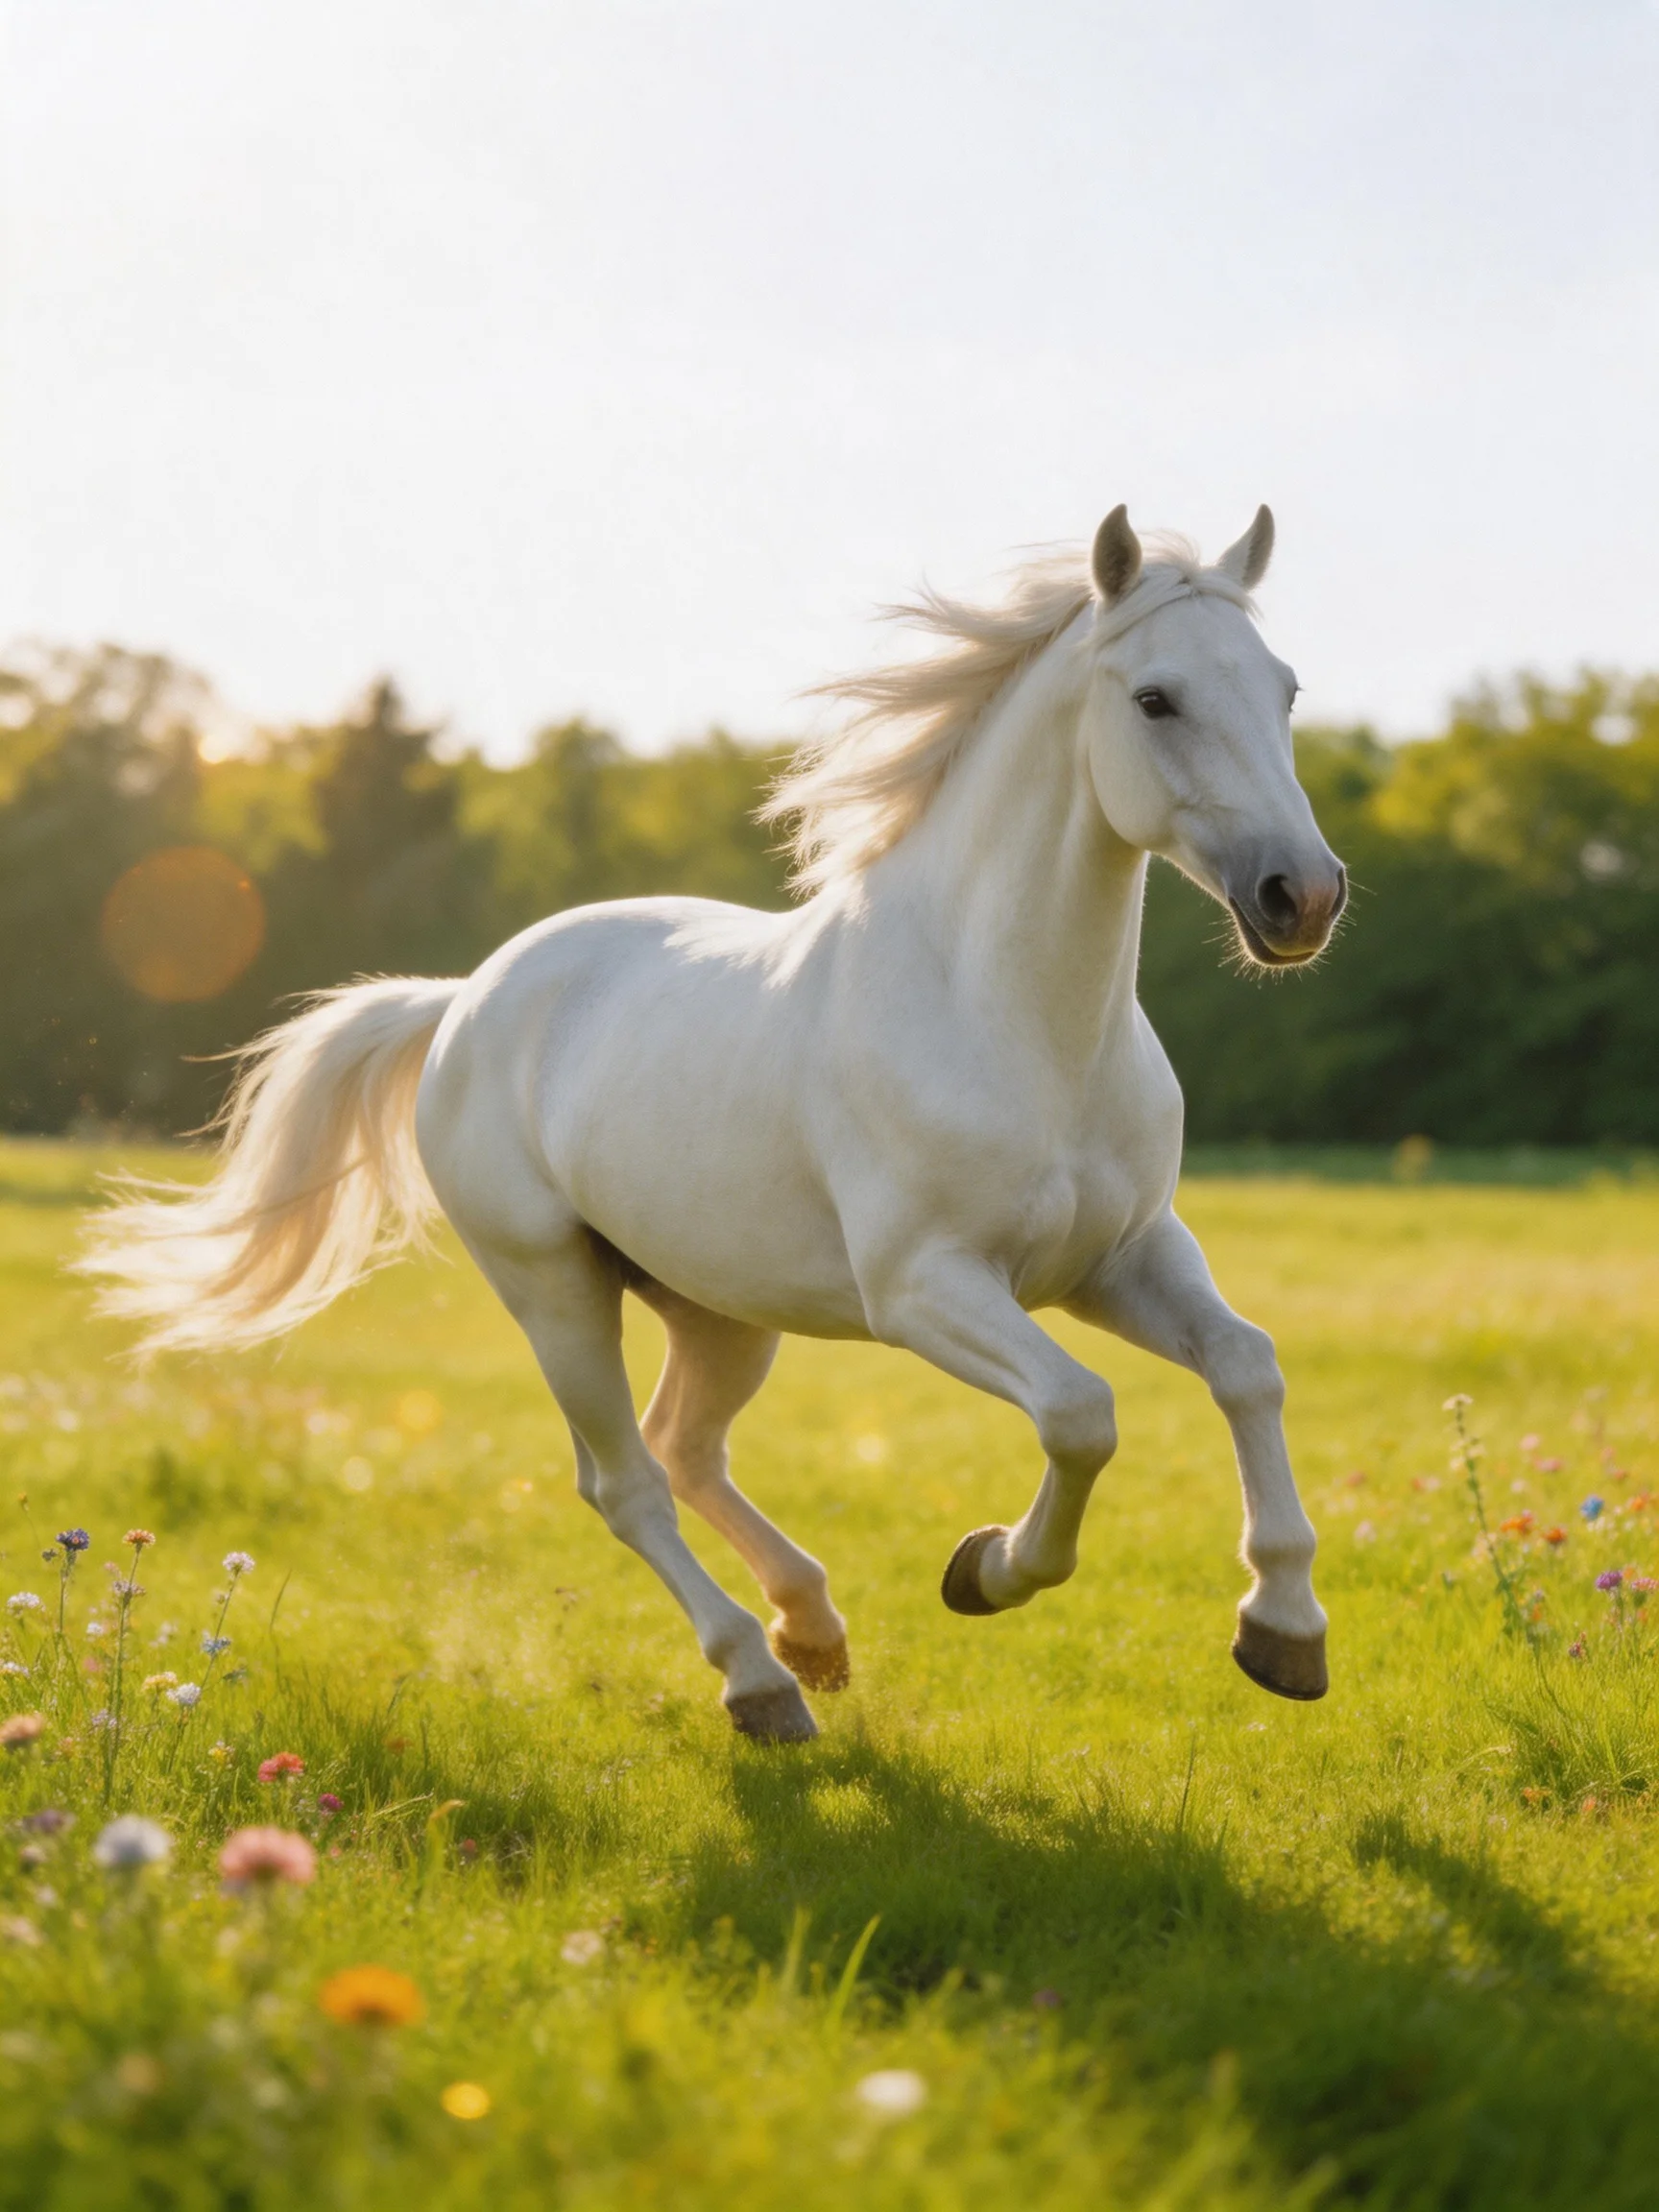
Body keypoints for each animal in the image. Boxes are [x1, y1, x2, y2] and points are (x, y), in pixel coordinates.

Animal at [81, 504, 1347, 1743]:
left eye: (1285, 689)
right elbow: (1082, 1415)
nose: (1305, 898)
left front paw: (1283, 1631)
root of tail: (463, 1001)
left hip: (719, 1307)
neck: (1014, 1022)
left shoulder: (1121, 1257)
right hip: (555, 1292)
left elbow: (1248, 1366)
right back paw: (761, 1683)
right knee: (627, 1481)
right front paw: (986, 1570)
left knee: (687, 1447)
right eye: (1156, 699)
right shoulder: (925, 1289)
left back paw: (813, 1630)